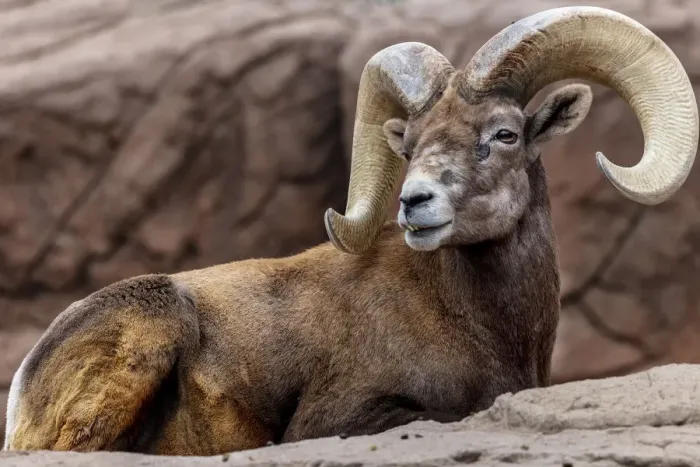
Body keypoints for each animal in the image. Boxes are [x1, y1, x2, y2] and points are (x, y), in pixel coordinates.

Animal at [3, 6, 698, 456]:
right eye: (409, 145)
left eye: (503, 134)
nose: (415, 202)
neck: (479, 322)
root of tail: (25, 383)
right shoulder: (340, 417)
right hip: (156, 320)